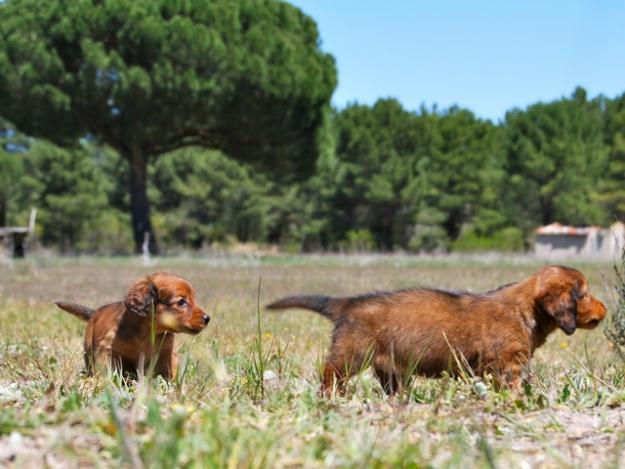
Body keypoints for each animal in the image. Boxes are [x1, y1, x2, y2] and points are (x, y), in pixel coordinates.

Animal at [55, 272, 210, 378]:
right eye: (182, 302)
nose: (207, 318)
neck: (147, 333)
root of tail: (95, 312)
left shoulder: (167, 353)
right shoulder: (109, 349)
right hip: (88, 348)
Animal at [266, 266, 604, 394]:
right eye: (584, 294)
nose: (605, 310)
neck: (525, 308)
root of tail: (348, 304)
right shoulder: (508, 365)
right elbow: (513, 386)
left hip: (390, 369)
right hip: (350, 355)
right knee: (330, 375)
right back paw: (332, 397)